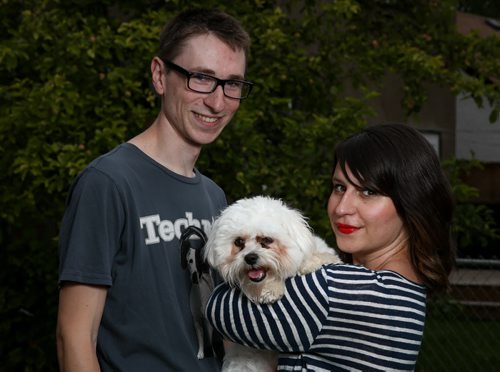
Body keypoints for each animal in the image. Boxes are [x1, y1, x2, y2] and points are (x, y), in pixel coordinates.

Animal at [203, 196, 340, 370]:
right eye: (239, 242)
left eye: (267, 240)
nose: (250, 257)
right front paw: (269, 290)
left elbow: (318, 256)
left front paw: (310, 262)